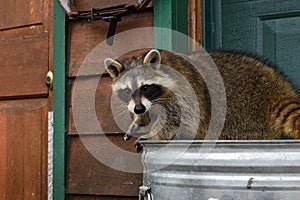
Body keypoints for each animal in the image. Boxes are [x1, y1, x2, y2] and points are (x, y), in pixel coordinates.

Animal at [105, 49, 300, 147]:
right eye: (127, 91)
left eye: (145, 87)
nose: (138, 109)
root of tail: (277, 88)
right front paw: (139, 120)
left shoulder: (182, 94)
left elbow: (176, 120)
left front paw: (155, 135)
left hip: (242, 115)